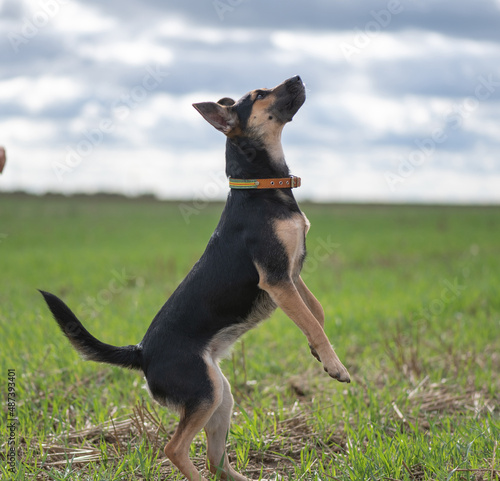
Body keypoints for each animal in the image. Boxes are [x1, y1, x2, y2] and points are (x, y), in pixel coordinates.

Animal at [41, 76, 350, 480]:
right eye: (260, 95)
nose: (298, 77)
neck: (260, 185)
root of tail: (141, 352)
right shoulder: (277, 279)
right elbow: (312, 322)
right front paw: (335, 365)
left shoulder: (292, 275)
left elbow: (317, 314)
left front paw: (321, 354)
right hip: (205, 393)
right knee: (175, 449)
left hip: (220, 394)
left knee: (216, 460)